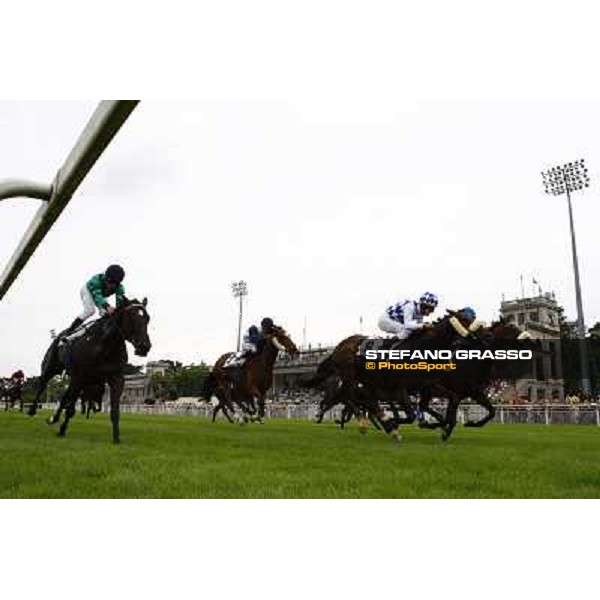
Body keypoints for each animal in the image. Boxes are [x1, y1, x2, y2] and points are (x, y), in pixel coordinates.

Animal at [27, 298, 151, 442]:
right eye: (131, 315)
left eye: (147, 318)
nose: (144, 346)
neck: (105, 345)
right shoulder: (80, 376)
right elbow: (70, 409)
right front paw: (62, 430)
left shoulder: (116, 378)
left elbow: (115, 411)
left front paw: (116, 438)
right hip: (52, 367)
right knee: (42, 385)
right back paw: (32, 410)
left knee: (64, 397)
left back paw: (54, 418)